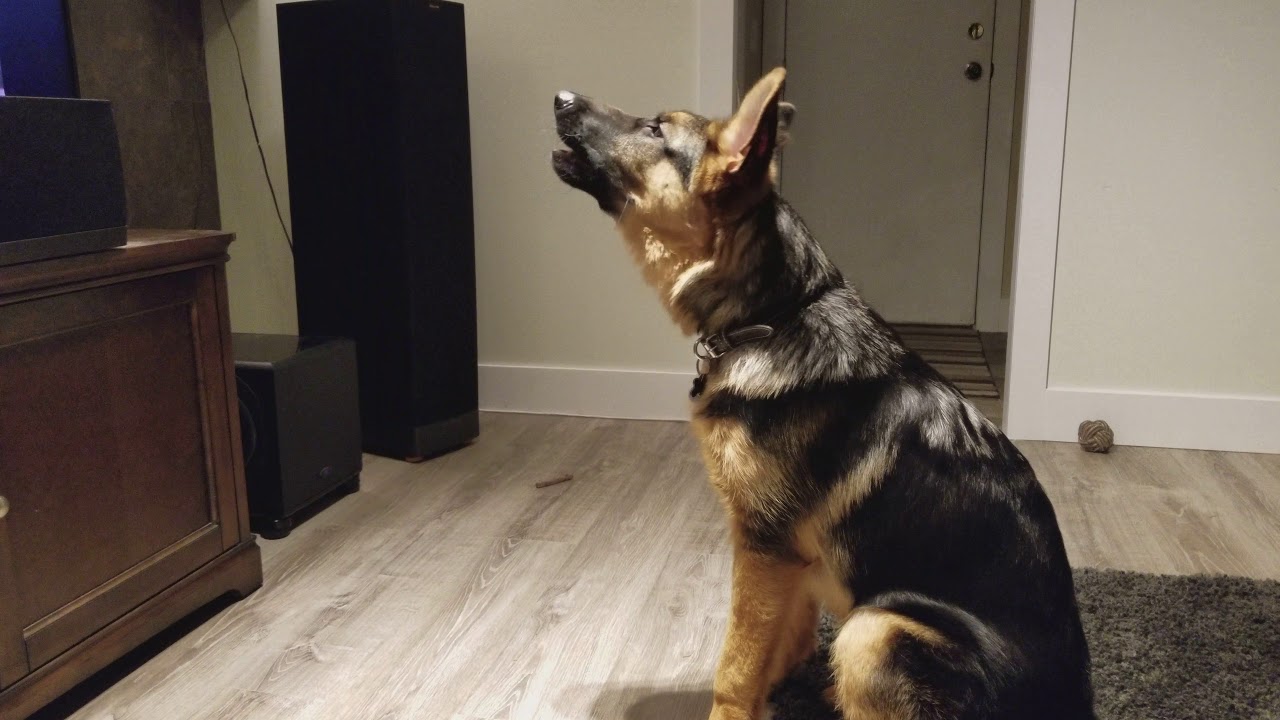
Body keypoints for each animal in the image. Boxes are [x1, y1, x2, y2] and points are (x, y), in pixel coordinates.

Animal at [550, 68, 1090, 717]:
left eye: (655, 129)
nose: (559, 97)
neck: (775, 314)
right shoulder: (791, 565)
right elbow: (783, 641)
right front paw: (782, 687)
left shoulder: (764, 548)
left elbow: (736, 662)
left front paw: (732, 709)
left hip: (874, 628)